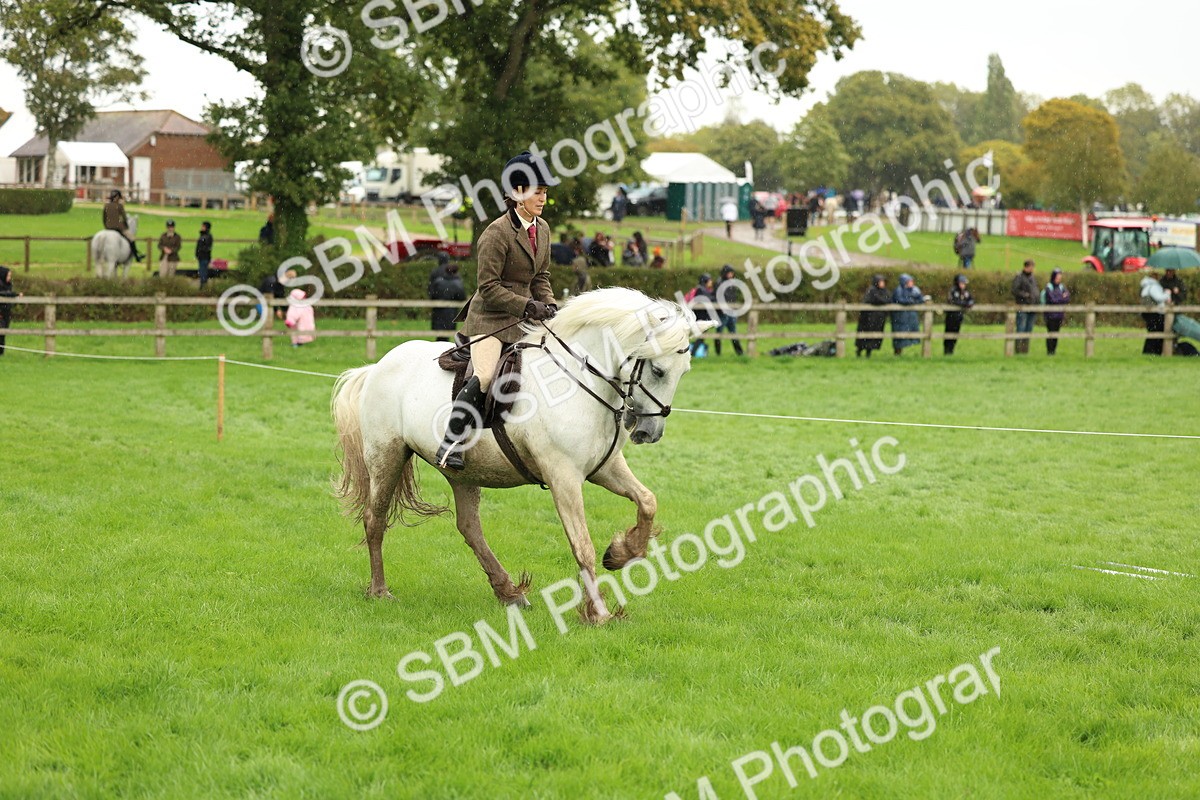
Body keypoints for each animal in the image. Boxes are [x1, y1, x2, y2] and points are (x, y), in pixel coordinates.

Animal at [331, 287, 714, 624]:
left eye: (684, 372)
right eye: (658, 370)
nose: (650, 432)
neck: (578, 381)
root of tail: (376, 367)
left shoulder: (604, 468)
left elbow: (647, 502)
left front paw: (622, 552)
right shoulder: (563, 475)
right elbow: (582, 544)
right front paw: (600, 613)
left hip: (463, 472)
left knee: (469, 528)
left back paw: (509, 592)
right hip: (387, 455)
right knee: (375, 519)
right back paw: (380, 591)